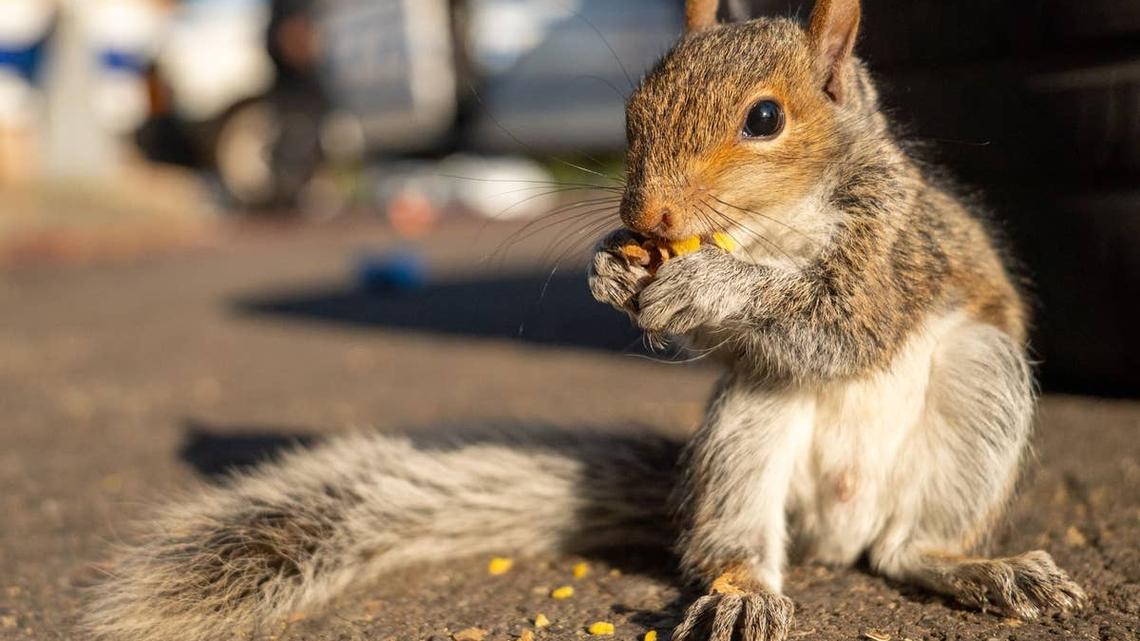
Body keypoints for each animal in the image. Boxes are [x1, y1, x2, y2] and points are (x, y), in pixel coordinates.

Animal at [84, 1, 1085, 640]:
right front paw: (612, 269)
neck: (773, 228)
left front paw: (710, 286)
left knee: (910, 547)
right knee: (740, 545)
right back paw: (741, 592)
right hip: (748, 423)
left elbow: (839, 320)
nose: (646, 217)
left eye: (766, 117)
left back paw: (984, 568)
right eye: (631, 110)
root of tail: (831, 535)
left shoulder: (891, 248)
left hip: (980, 382)